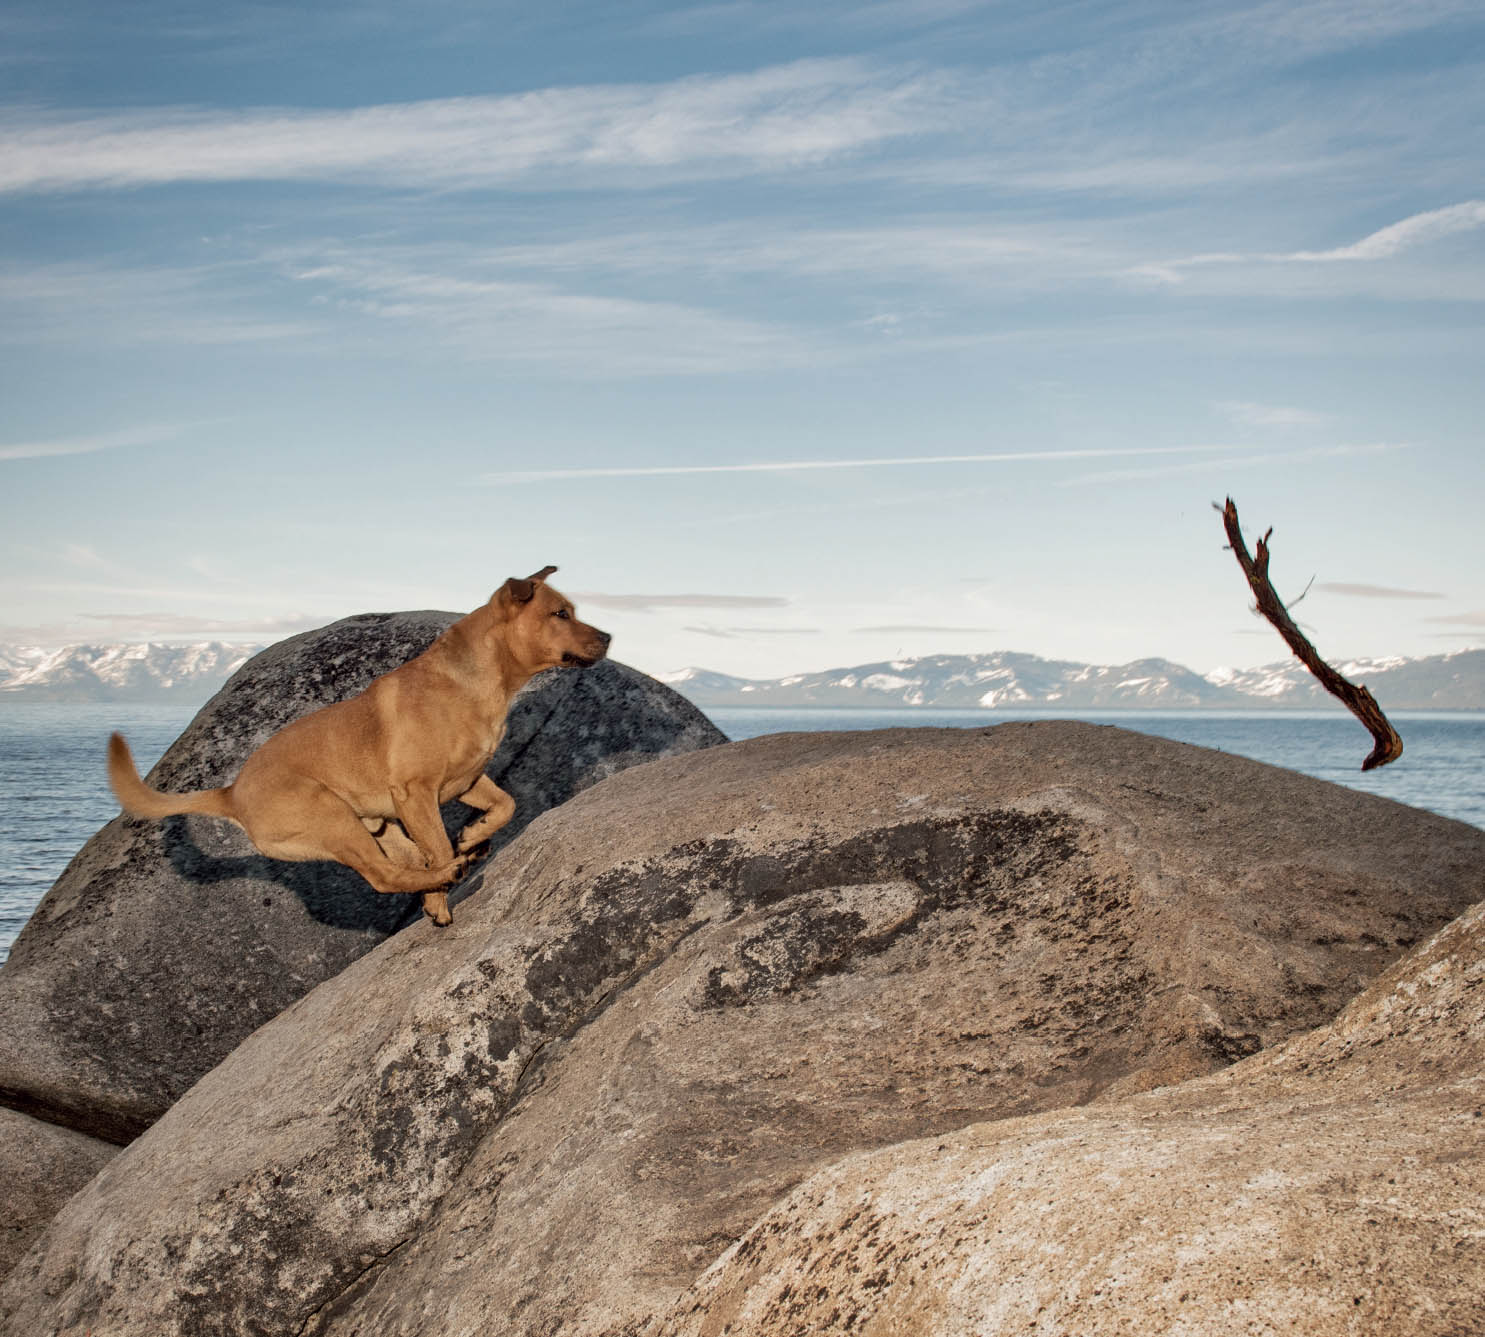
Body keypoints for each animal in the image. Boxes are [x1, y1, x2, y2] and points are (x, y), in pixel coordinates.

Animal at [107, 567, 608, 926]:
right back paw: (447, 876)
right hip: (336, 819)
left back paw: (453, 868)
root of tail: (232, 792)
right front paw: (449, 880)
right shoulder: (417, 791)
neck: (475, 681)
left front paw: (473, 835)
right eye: (560, 614)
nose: (607, 637)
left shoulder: (467, 781)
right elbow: (444, 841)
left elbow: (506, 805)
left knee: (408, 865)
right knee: (386, 876)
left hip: (378, 825)